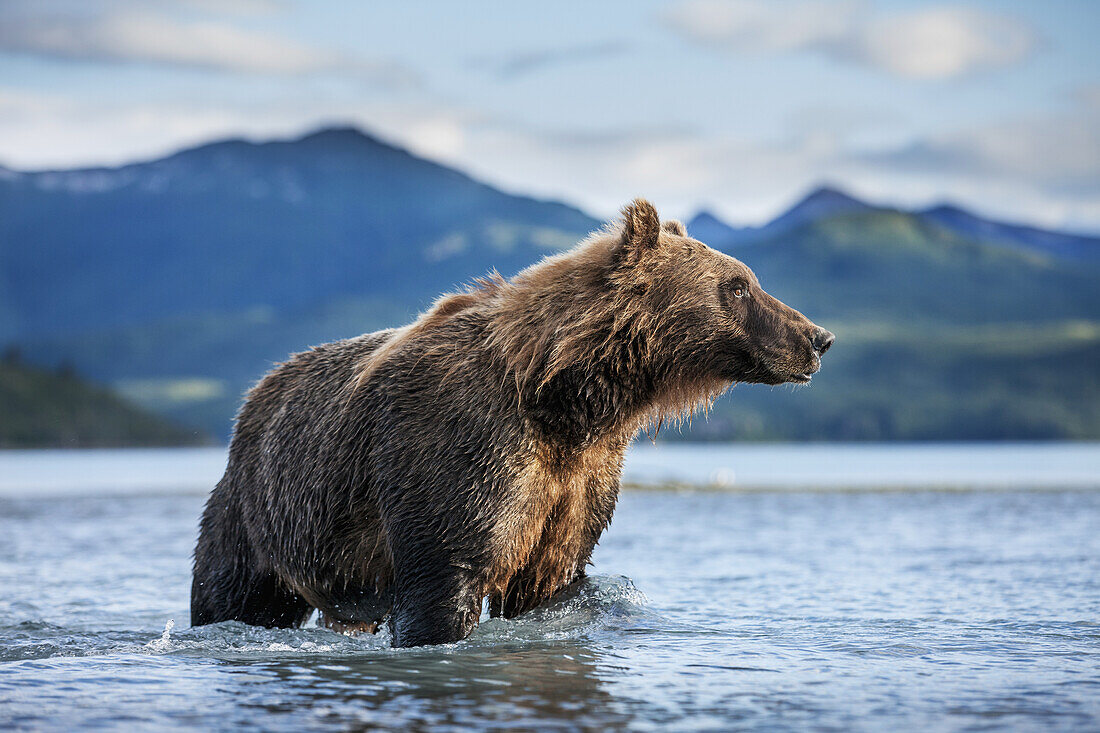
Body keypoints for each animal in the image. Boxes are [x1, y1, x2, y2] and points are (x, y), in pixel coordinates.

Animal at [193, 197, 831, 642]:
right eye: (739, 285)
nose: (817, 338)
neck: (565, 394)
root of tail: (257, 394)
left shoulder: (578, 477)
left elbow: (552, 580)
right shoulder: (459, 441)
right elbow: (444, 576)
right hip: (259, 512)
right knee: (232, 594)